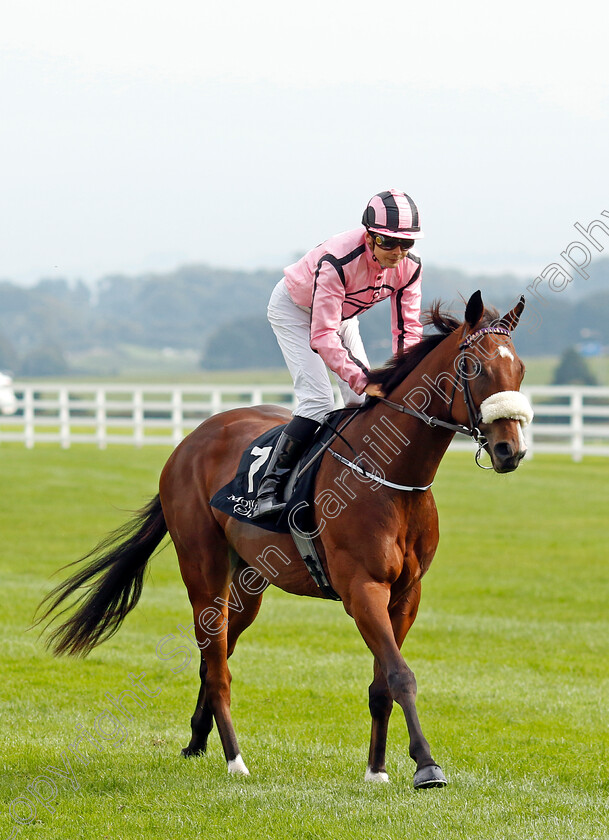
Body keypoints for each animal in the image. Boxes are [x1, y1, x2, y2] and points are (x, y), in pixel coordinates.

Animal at [39, 292, 532, 792]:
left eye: (520, 369)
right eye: (472, 366)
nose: (510, 450)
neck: (391, 477)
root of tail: (188, 442)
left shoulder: (405, 595)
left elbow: (382, 685)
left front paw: (377, 769)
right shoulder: (363, 588)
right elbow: (400, 675)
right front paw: (427, 765)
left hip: (248, 582)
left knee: (213, 655)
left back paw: (197, 741)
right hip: (203, 569)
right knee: (217, 665)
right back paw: (235, 759)